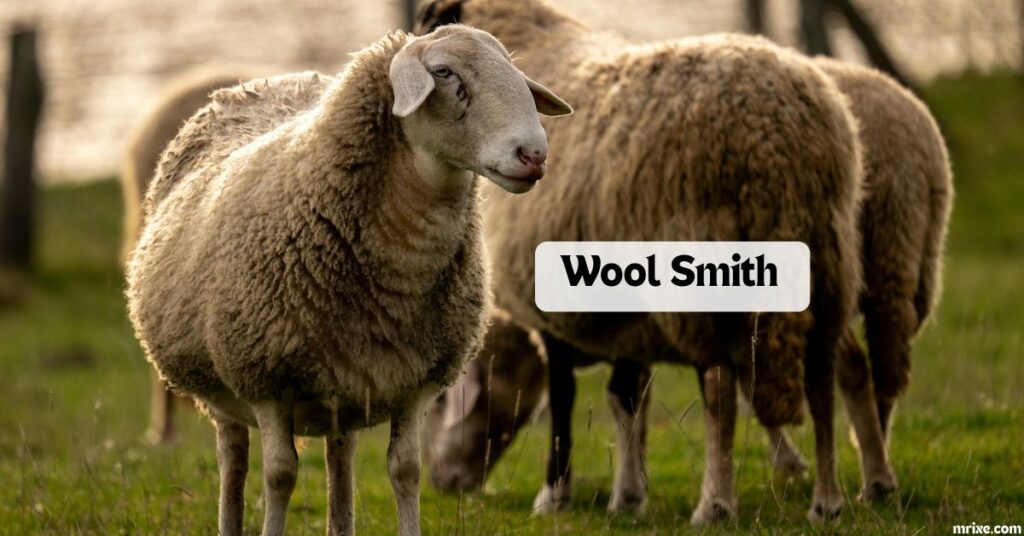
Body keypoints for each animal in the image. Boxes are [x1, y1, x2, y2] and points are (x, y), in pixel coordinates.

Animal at [423, 56, 953, 513]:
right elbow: (634, 397)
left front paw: (563, 494)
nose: (445, 484)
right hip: (867, 268)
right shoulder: (635, 320)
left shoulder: (573, 325)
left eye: (447, 399)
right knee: (858, 369)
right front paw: (632, 489)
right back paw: (872, 474)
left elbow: (577, 397)